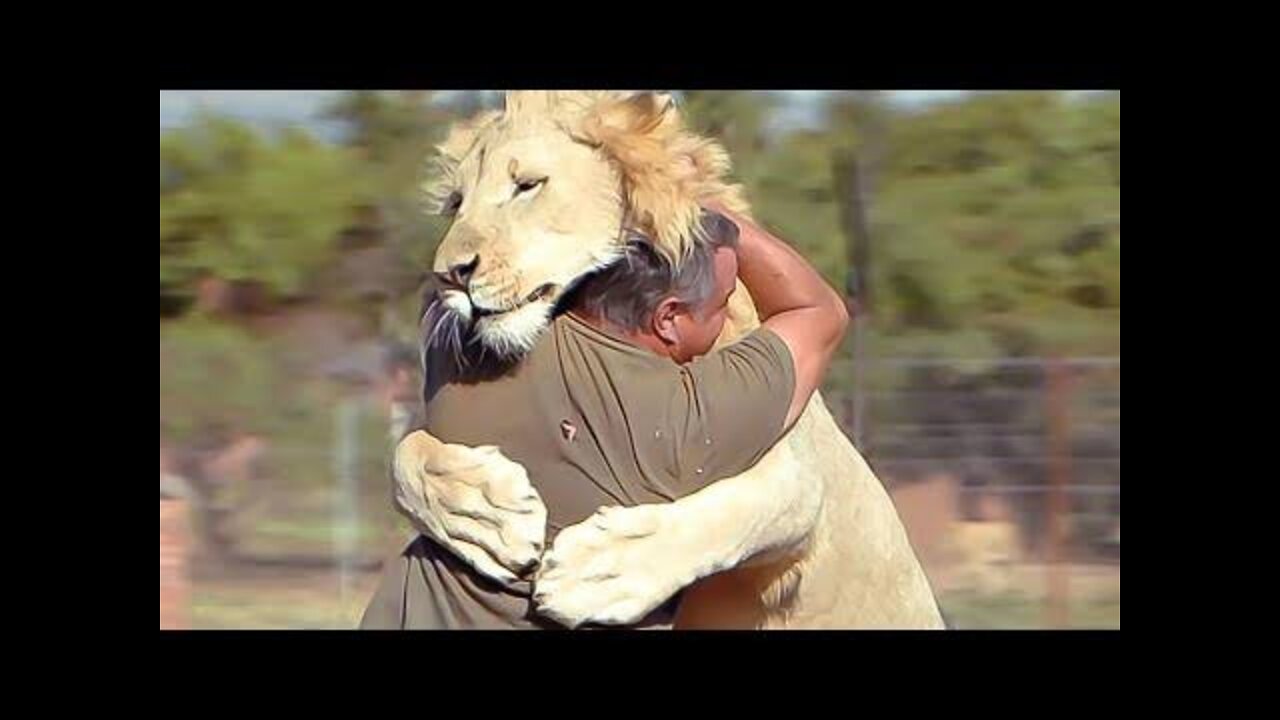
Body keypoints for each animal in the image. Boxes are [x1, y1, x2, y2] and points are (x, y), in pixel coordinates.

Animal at [394, 89, 947, 625]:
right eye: (457, 202)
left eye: (527, 185)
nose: (449, 275)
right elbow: (407, 453)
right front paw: (482, 515)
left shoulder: (796, 465)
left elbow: (738, 511)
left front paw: (602, 572)